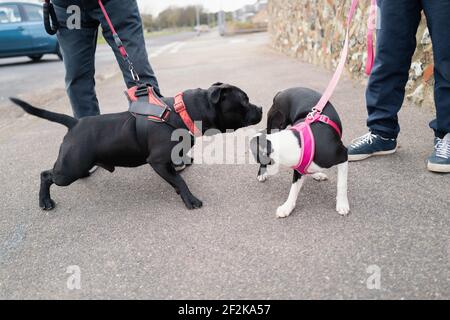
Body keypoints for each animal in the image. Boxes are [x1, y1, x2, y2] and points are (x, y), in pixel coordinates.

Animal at [11, 84, 264, 211]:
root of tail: (75, 123)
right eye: (243, 101)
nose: (261, 107)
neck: (183, 113)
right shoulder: (158, 161)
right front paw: (189, 199)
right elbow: (179, 180)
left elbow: (176, 175)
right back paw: (44, 201)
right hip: (69, 169)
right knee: (46, 175)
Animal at [251, 87, 350, 218]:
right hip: (276, 123)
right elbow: (293, 189)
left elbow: (342, 184)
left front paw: (342, 204)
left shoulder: (343, 156)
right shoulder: (299, 167)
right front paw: (287, 207)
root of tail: (281, 92)